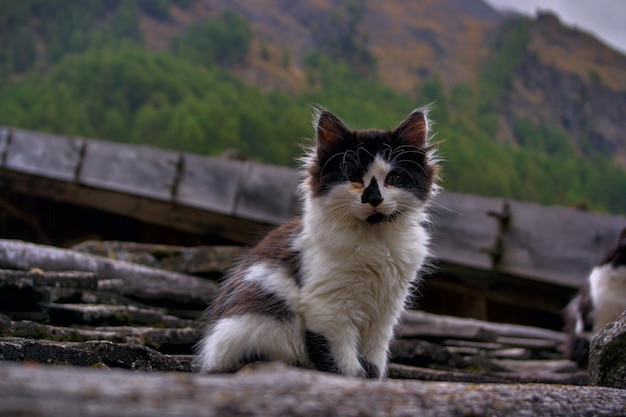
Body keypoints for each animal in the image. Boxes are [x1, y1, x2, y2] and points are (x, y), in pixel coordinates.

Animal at [195, 105, 438, 376]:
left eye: (393, 178)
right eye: (353, 176)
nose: (374, 198)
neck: (373, 239)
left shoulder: (386, 312)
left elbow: (374, 360)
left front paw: (372, 379)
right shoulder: (328, 308)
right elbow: (345, 364)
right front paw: (353, 379)